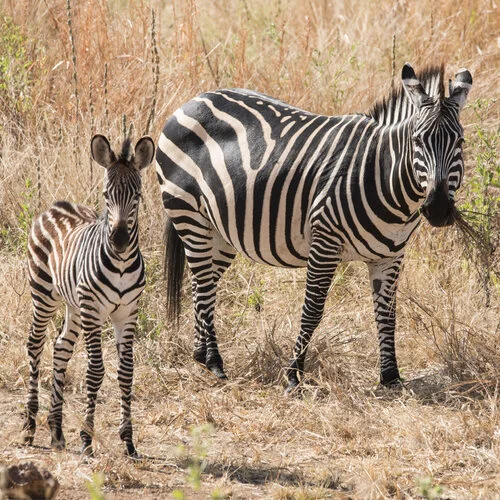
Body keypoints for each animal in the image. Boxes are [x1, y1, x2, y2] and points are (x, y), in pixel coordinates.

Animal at [23, 134, 154, 458]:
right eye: (107, 194)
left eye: (137, 195)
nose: (119, 241)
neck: (121, 263)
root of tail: (56, 205)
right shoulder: (93, 309)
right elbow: (95, 371)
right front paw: (86, 438)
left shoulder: (127, 312)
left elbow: (126, 371)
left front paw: (128, 440)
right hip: (43, 294)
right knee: (35, 344)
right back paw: (29, 427)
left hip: (73, 304)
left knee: (60, 347)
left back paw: (56, 431)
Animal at [156, 63, 472, 390]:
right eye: (417, 141)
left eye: (460, 142)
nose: (437, 209)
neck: (385, 177)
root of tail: (193, 100)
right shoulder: (325, 243)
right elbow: (313, 309)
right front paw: (293, 374)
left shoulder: (390, 256)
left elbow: (387, 314)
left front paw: (390, 377)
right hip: (188, 213)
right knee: (204, 284)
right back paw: (214, 361)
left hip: (219, 231)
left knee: (201, 282)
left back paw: (200, 353)